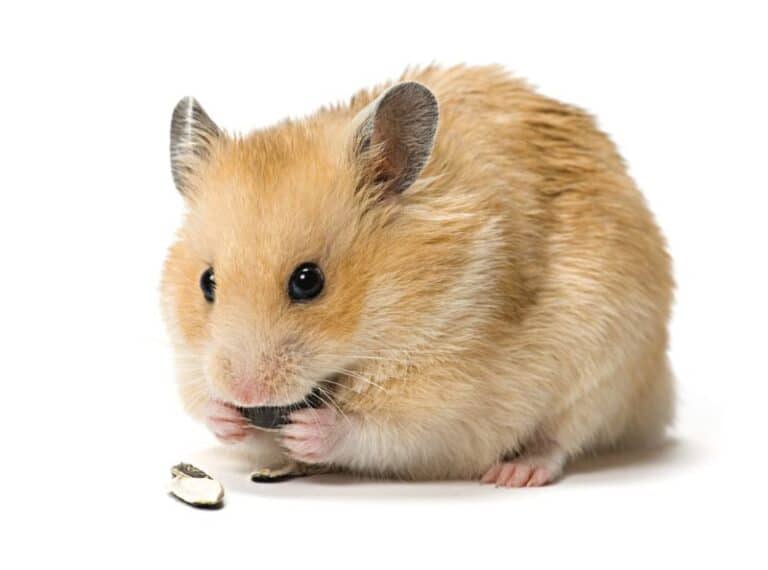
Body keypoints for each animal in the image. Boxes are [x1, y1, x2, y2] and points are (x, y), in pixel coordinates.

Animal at [161, 65, 674, 486]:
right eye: (207, 283)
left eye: (308, 281)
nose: (244, 392)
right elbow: (217, 413)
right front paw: (225, 416)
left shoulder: (450, 404)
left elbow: (380, 429)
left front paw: (308, 430)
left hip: (610, 368)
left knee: (563, 438)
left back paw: (515, 474)